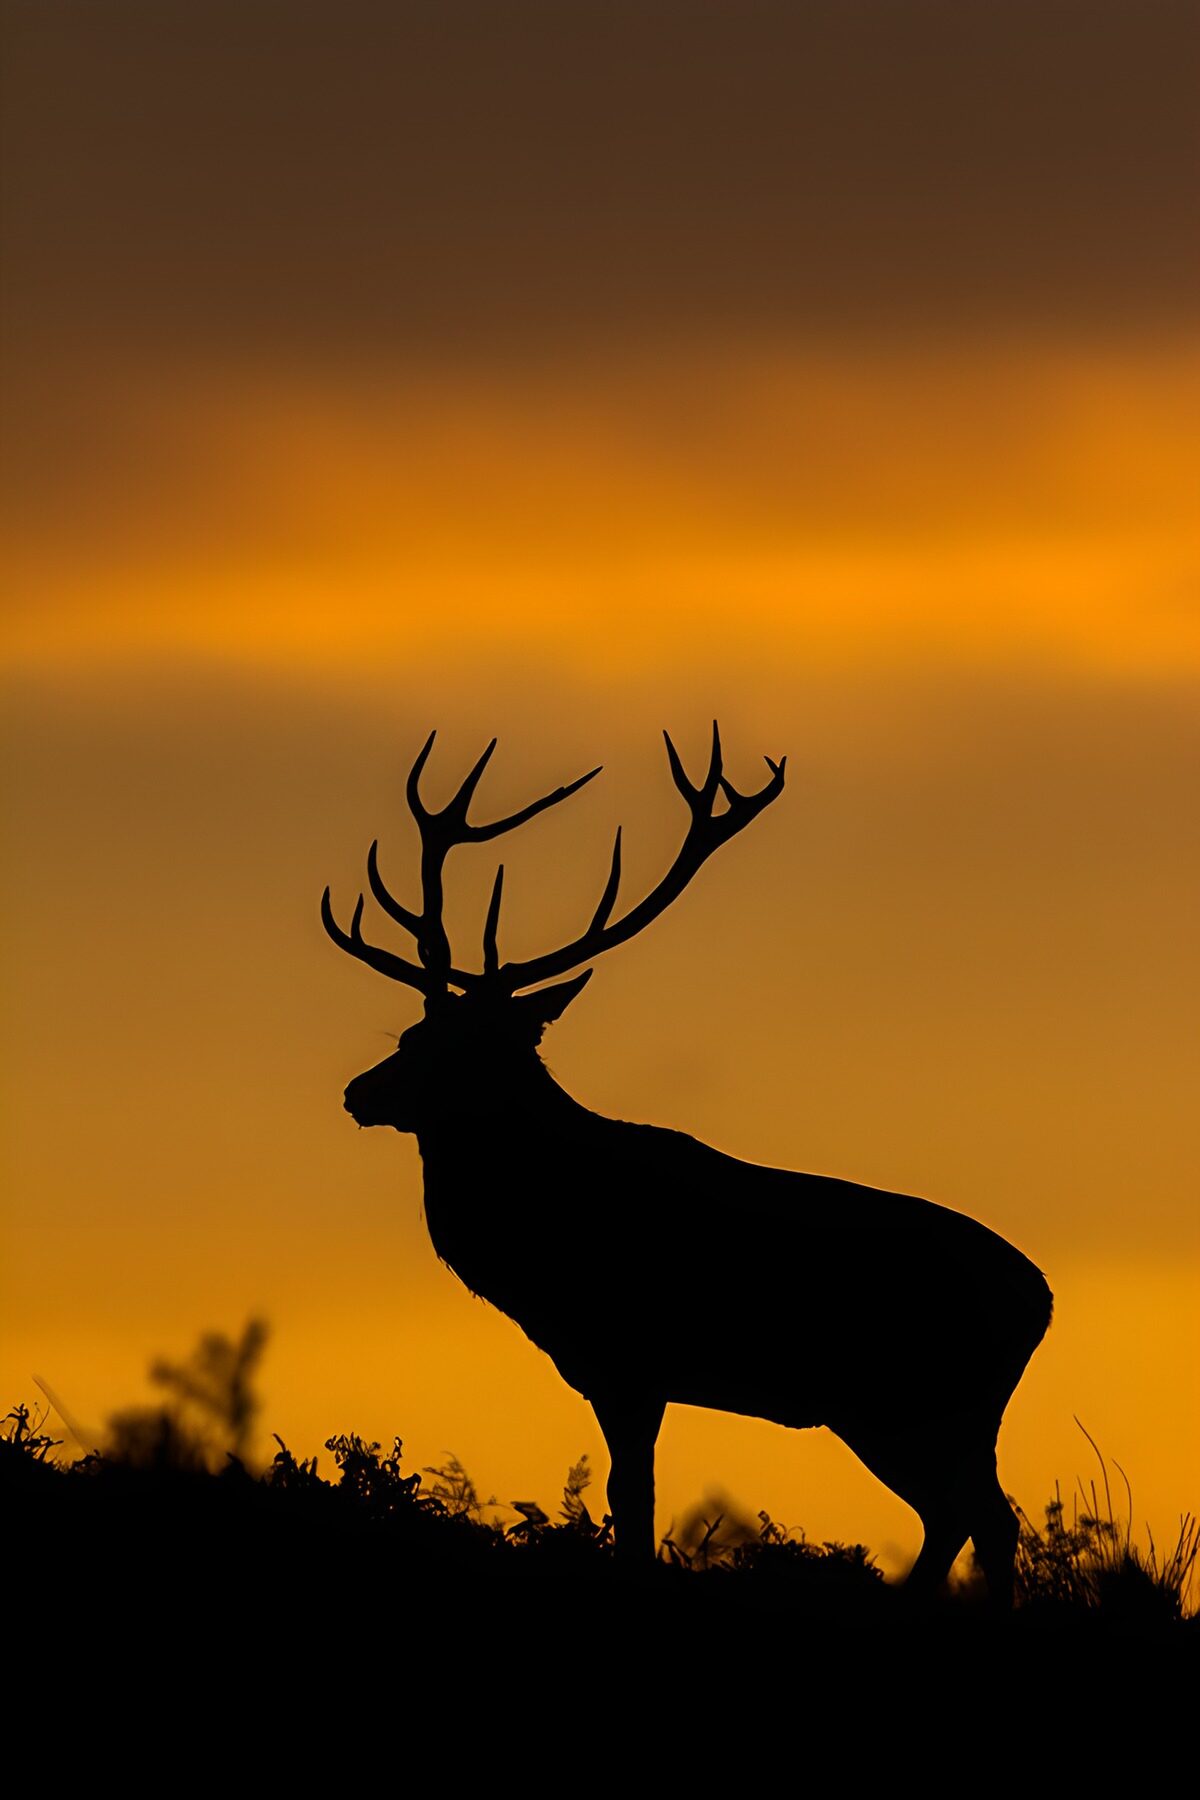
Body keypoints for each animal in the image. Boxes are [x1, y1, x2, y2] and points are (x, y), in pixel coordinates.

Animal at [322, 725, 1052, 1602]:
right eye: (410, 1033)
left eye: (466, 1047)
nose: (359, 1092)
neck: (532, 1251)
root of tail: (1040, 1300)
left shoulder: (631, 1358)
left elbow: (631, 1499)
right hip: (915, 1414)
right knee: (971, 1517)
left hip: (915, 1400)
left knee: (977, 1518)